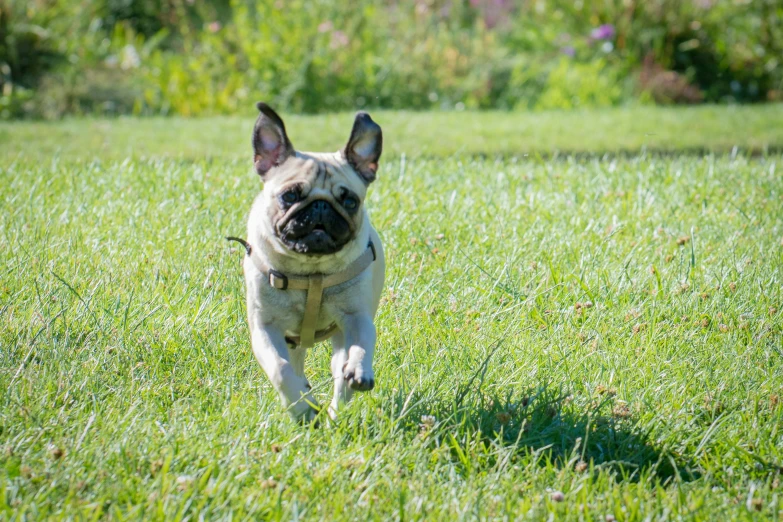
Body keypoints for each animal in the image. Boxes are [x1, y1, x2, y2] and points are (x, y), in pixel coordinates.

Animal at [239, 102, 386, 422]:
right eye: (289, 195)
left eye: (350, 202)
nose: (321, 207)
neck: (311, 271)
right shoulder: (266, 328)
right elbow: (281, 369)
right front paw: (301, 408)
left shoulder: (357, 318)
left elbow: (362, 345)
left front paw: (360, 370)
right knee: (293, 364)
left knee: (339, 375)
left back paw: (334, 412)